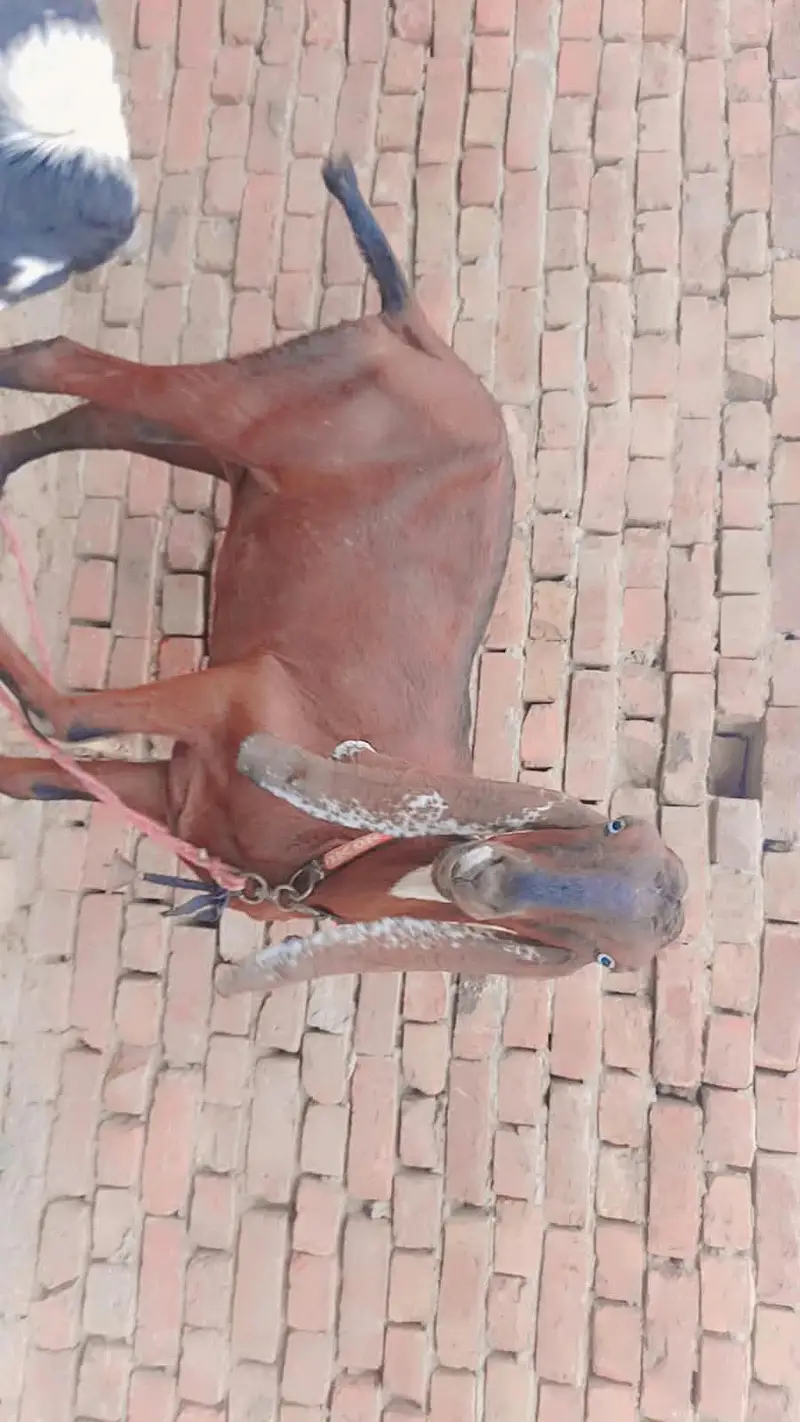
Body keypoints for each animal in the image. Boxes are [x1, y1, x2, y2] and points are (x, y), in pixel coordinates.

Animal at [0, 156, 688, 997]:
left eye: (604, 954)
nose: (485, 877)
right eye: (614, 822)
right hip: (244, 412)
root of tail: (422, 336)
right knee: (55, 360)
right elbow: (64, 715)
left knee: (88, 416)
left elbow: (33, 768)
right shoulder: (240, 695)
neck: (331, 852)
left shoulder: (170, 793)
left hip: (235, 446)